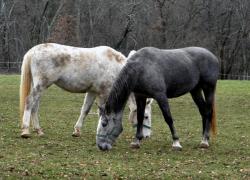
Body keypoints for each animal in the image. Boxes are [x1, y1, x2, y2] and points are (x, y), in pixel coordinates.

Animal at [19, 43, 151, 138]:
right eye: (146, 116)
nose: (146, 136)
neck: (115, 66)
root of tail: (33, 51)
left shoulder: (92, 92)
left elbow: (85, 110)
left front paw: (77, 131)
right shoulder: (103, 93)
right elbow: (103, 112)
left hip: (40, 86)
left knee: (35, 106)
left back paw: (38, 130)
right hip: (41, 85)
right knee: (29, 102)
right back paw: (25, 130)